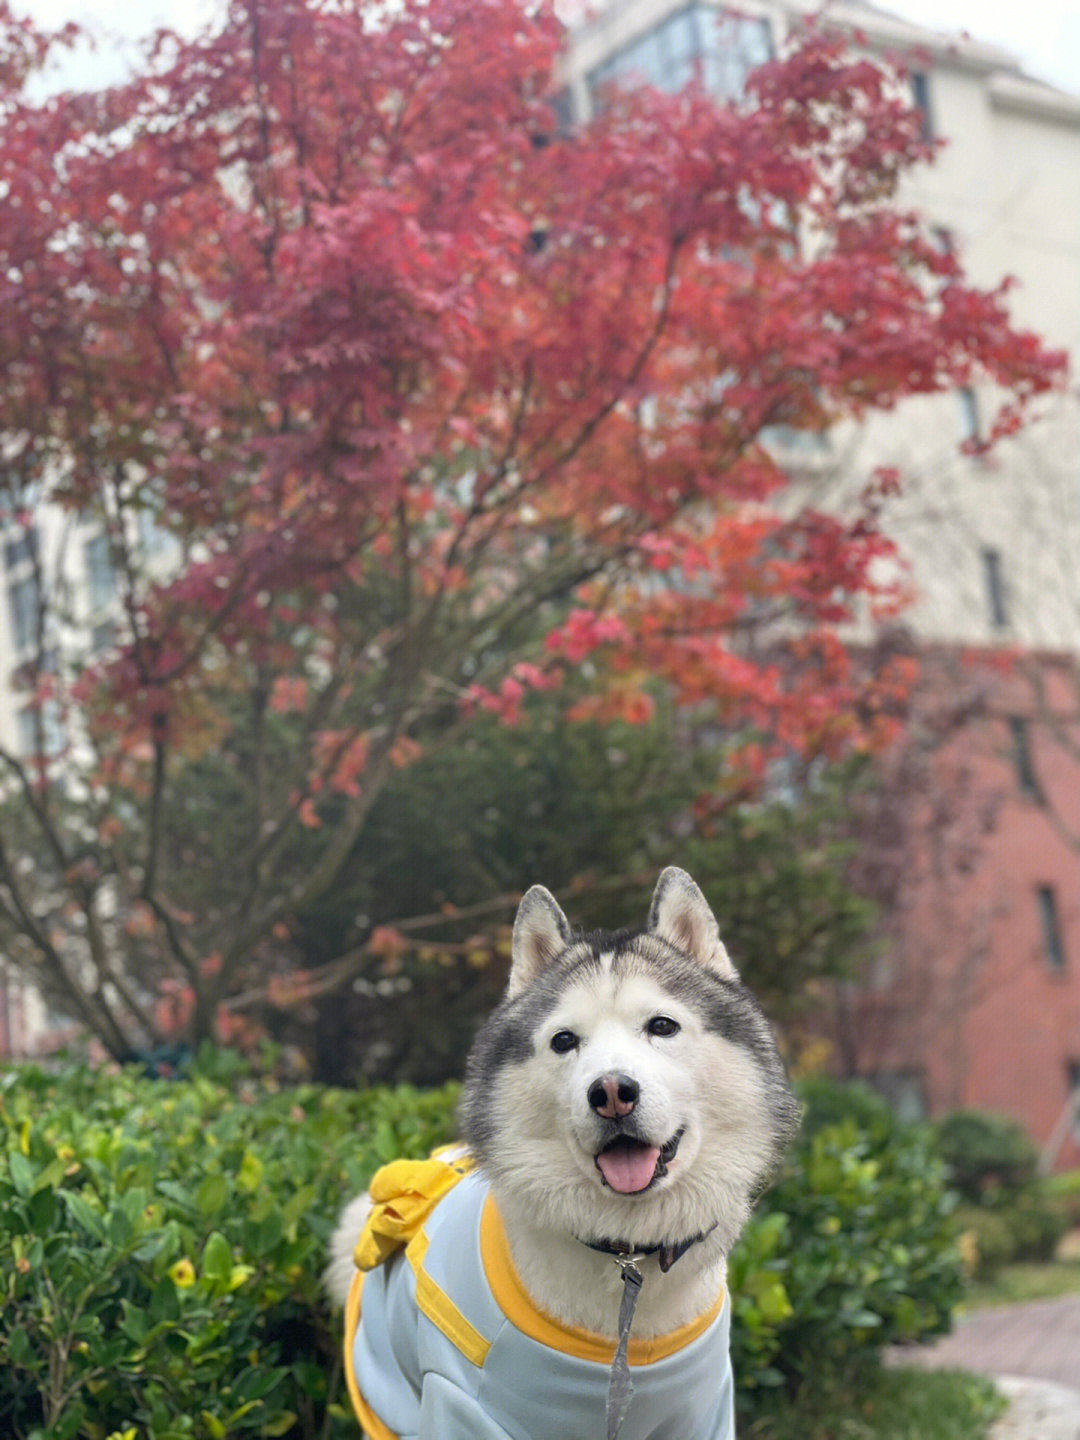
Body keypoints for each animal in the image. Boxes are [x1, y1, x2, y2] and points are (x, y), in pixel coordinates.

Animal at [329, 864, 806, 1440]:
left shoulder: (704, 1408)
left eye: (662, 1026)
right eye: (563, 1040)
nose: (612, 1092)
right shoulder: (459, 1403)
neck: (626, 1254)